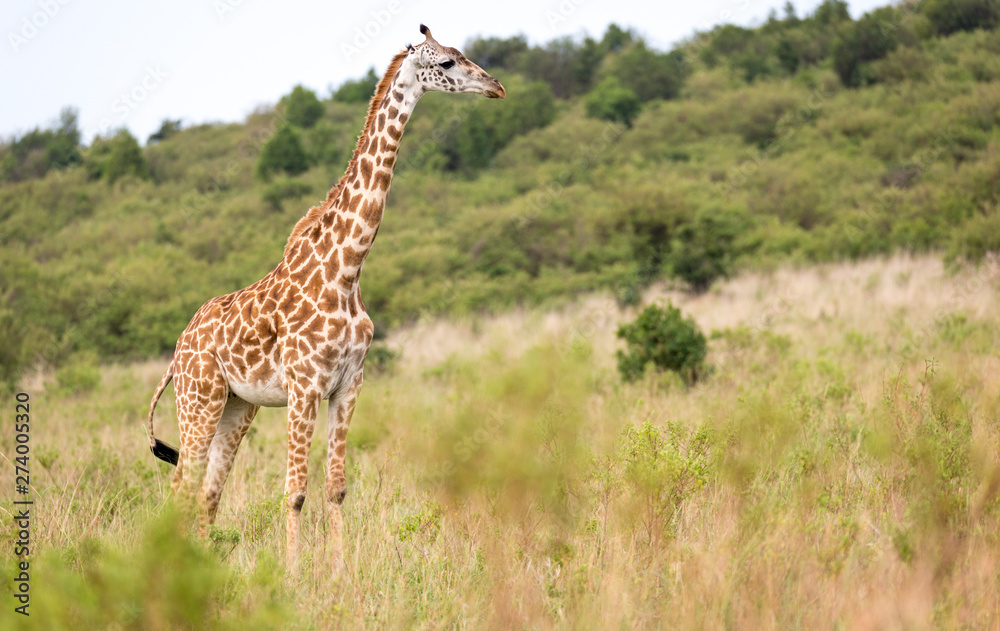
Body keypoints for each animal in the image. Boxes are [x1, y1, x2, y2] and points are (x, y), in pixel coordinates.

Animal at [145, 25, 504, 572]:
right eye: (445, 62)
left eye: (462, 55)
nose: (496, 87)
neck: (347, 271)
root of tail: (177, 351)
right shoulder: (304, 387)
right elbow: (294, 491)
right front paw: (293, 575)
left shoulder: (348, 384)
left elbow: (335, 487)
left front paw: (339, 572)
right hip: (198, 400)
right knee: (179, 489)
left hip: (236, 407)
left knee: (206, 493)